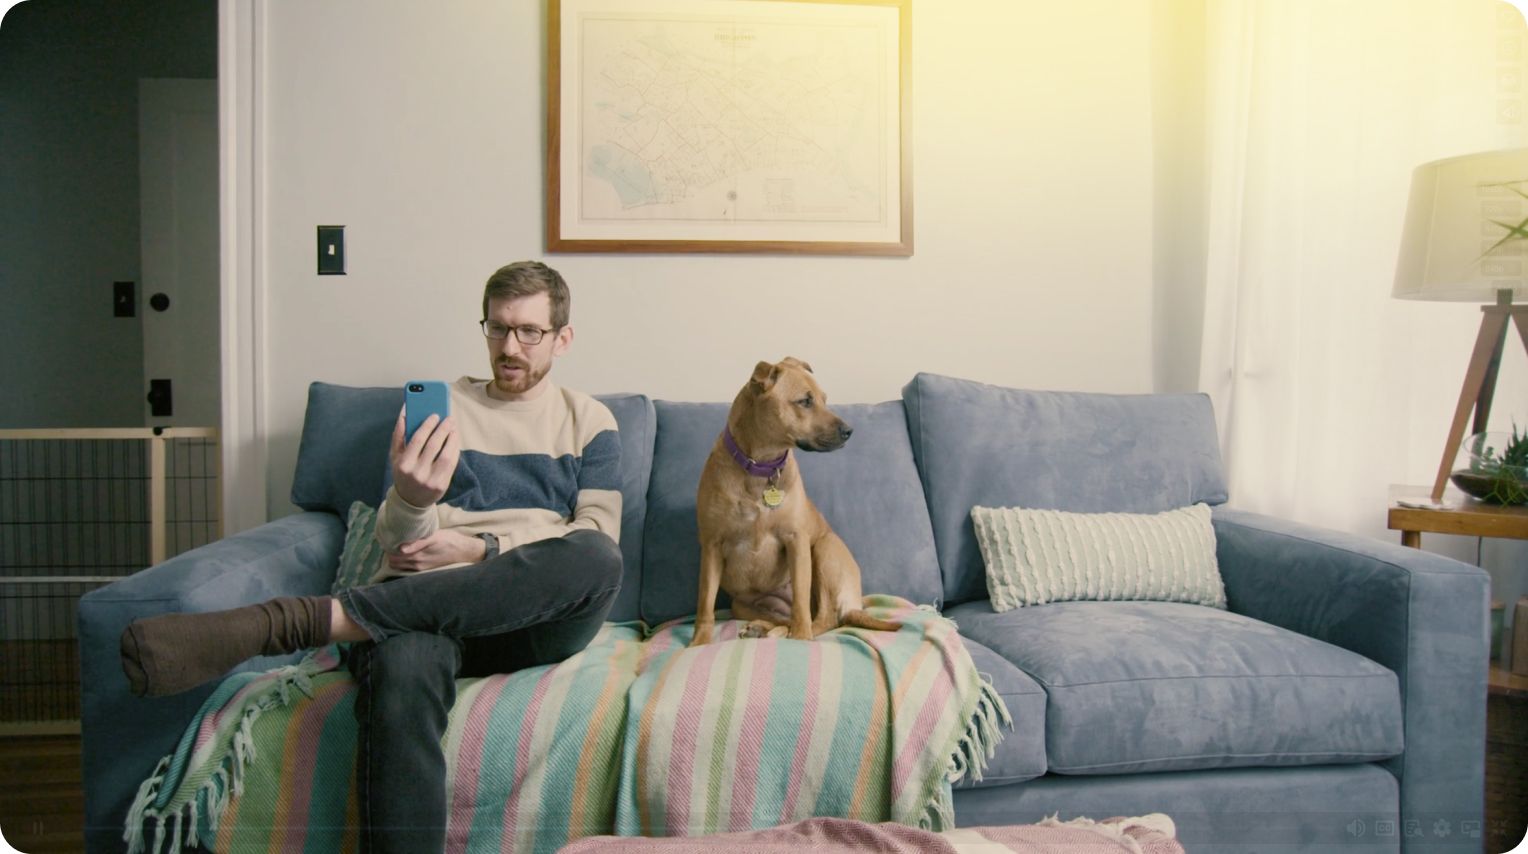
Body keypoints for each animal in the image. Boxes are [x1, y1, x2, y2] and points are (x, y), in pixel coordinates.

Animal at [696, 357, 898, 644]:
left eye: (824, 399)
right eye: (805, 401)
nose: (849, 431)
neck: (762, 468)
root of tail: (854, 604)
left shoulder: (797, 541)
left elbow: (802, 605)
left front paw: (801, 639)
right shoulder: (712, 546)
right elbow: (705, 603)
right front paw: (697, 643)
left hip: (823, 550)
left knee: (822, 618)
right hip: (741, 604)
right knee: (789, 618)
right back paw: (764, 628)